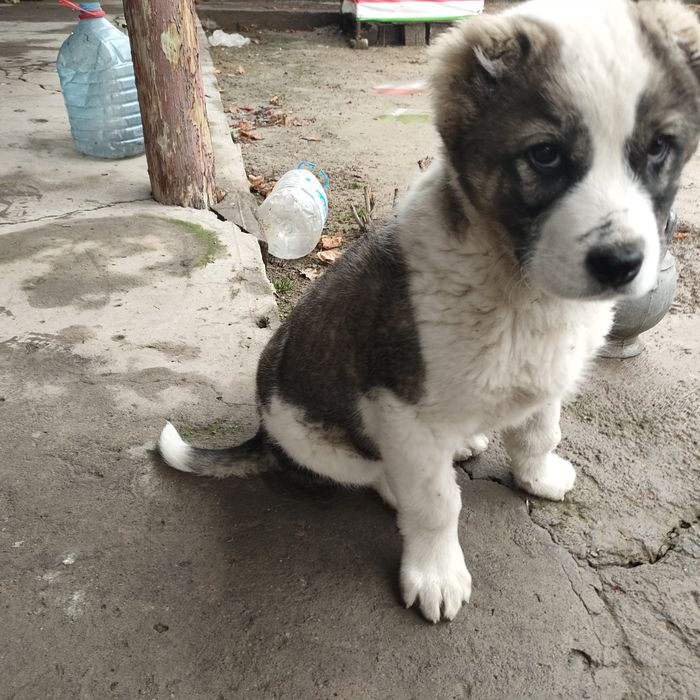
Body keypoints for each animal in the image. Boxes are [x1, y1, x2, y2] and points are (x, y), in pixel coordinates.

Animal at [159, 0, 700, 623]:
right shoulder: (398, 408)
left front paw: (537, 477)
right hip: (322, 436)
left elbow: (539, 432)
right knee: (380, 472)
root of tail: (263, 436)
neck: (517, 287)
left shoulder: (548, 377)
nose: (621, 263)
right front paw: (436, 572)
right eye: (544, 154)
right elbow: (438, 501)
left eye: (658, 148)